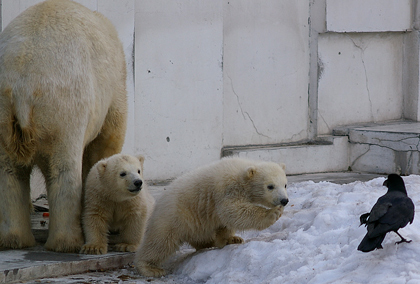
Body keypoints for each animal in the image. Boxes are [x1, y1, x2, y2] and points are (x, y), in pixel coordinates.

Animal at [0, 0, 126, 253]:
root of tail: (21, 86)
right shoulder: (114, 85)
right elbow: (107, 141)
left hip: (2, 111)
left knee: (9, 171)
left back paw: (14, 239)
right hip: (63, 107)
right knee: (64, 167)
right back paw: (66, 242)